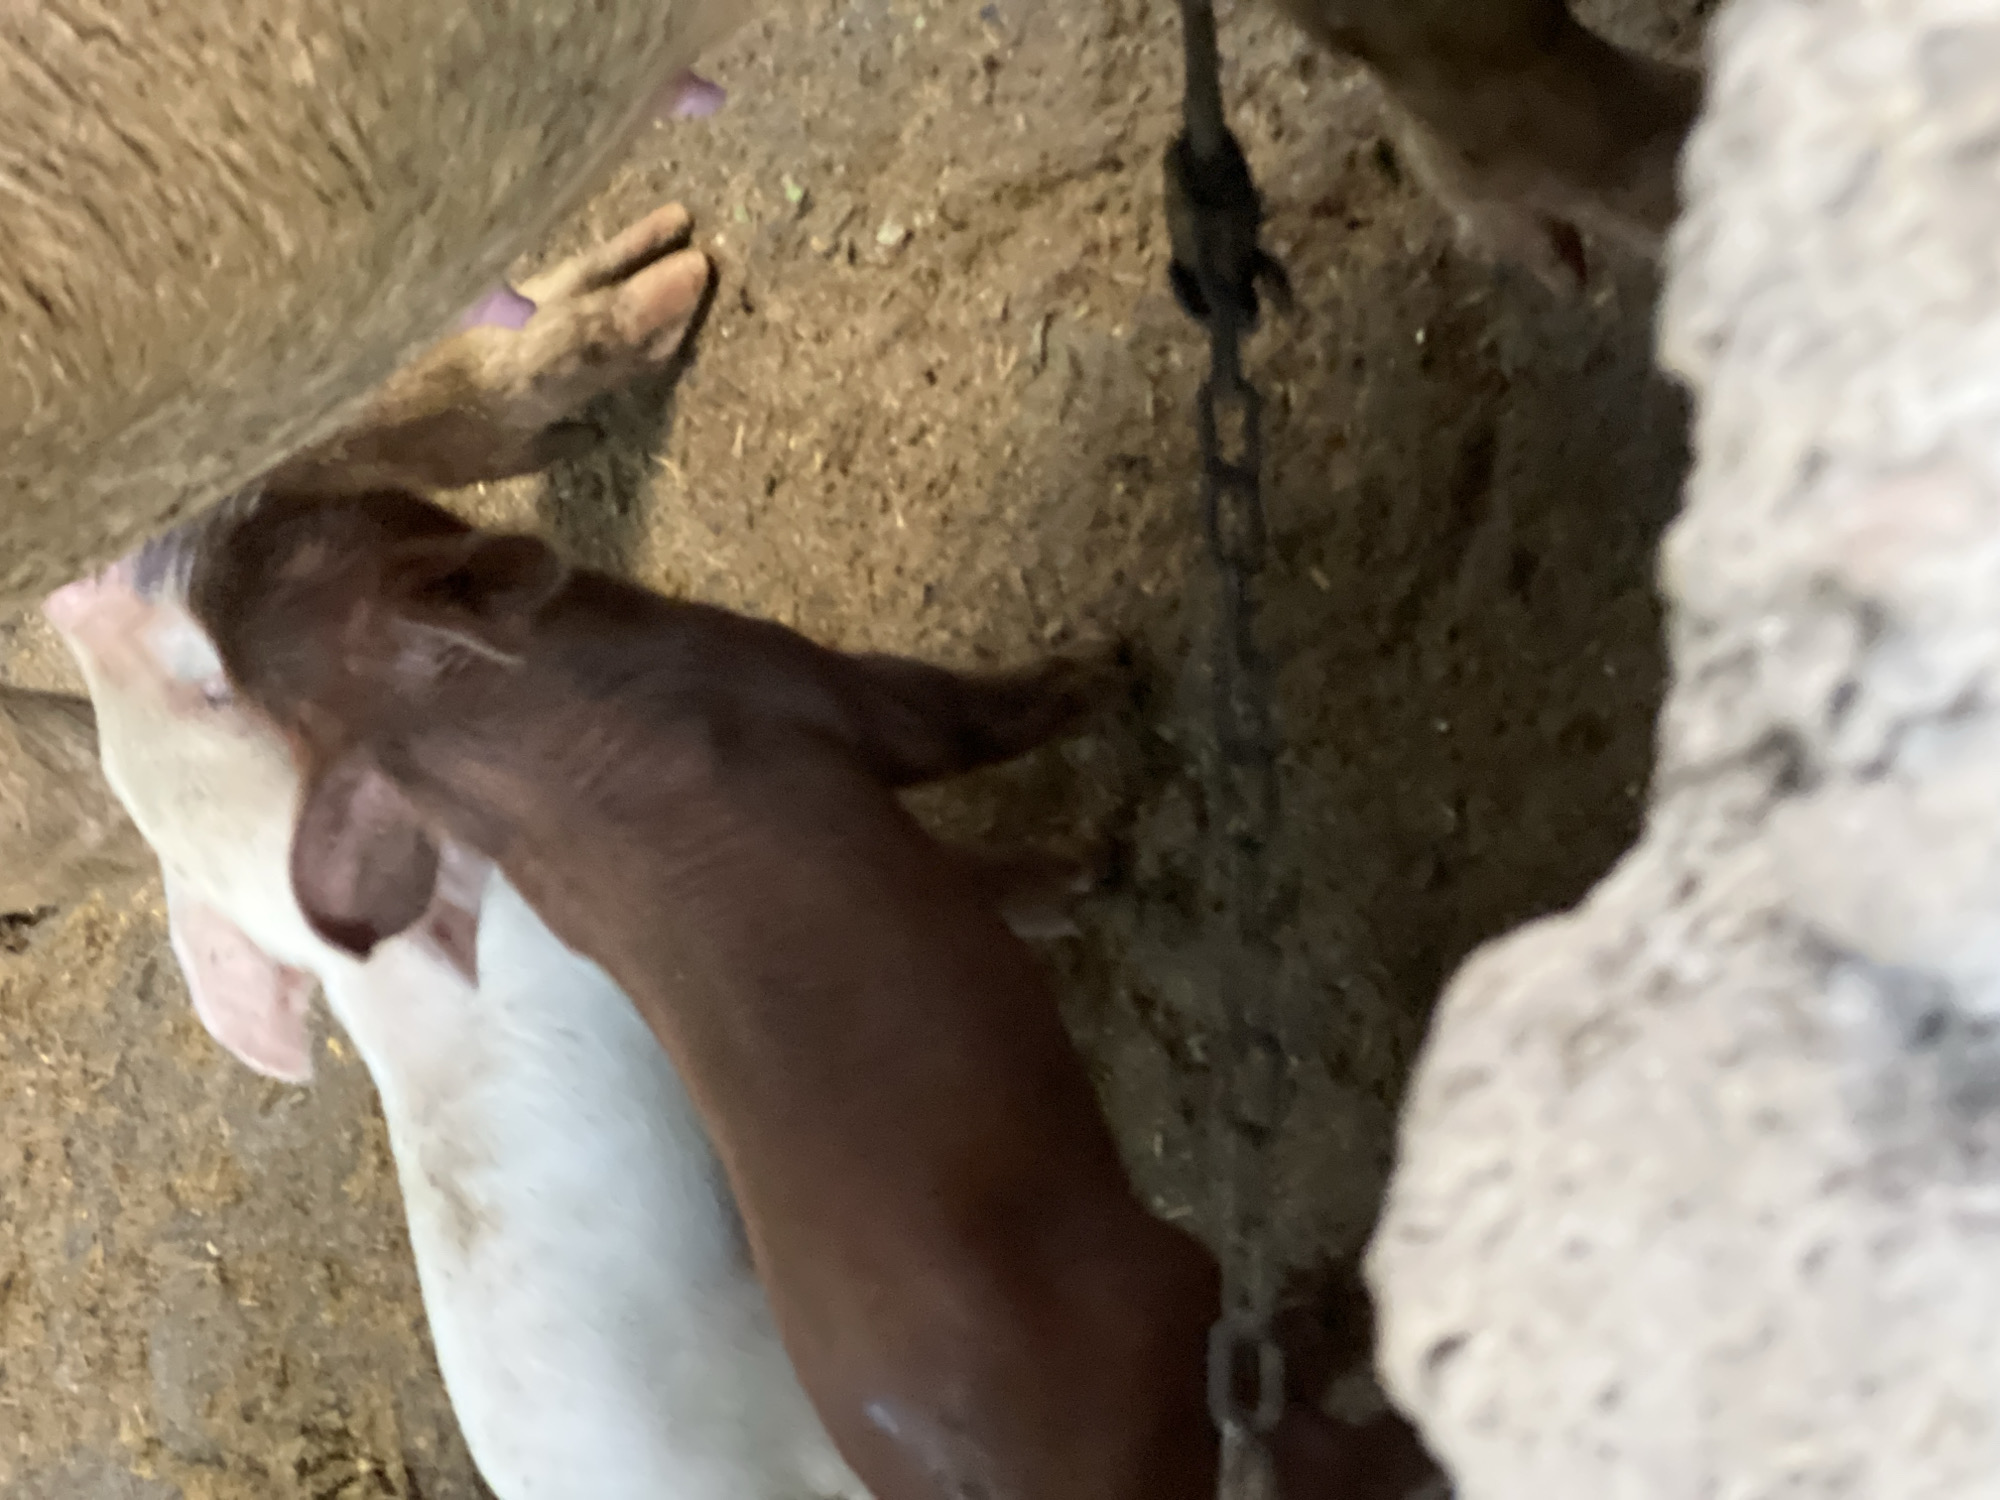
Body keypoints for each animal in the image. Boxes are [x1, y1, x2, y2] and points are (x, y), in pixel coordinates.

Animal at [174, 485, 1443, 1500]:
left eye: (288, 551)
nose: (215, 522)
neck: (482, 742)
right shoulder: (781, 675)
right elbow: (951, 717)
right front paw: (1112, 665)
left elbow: (997, 876)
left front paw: (1091, 867)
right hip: (1161, 1331)